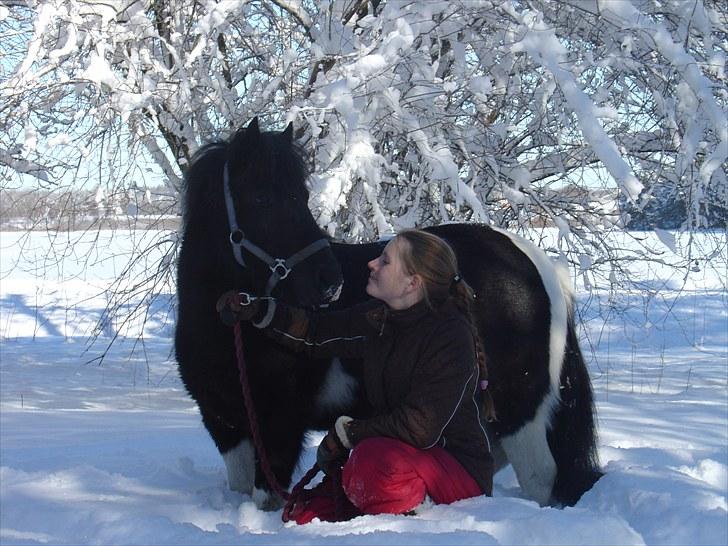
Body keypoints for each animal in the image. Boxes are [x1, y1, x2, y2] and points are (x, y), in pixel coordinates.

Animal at [176, 117, 604, 508]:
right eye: (262, 197)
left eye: (300, 194)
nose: (329, 281)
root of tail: (537, 265)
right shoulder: (226, 423)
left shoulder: (279, 426)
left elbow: (266, 498)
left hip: (523, 413)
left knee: (540, 480)